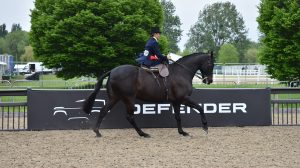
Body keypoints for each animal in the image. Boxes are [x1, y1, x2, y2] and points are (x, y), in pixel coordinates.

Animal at [82, 52, 213, 138]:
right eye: (210, 64)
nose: (209, 81)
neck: (181, 72)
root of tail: (113, 70)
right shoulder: (184, 99)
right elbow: (200, 108)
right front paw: (205, 127)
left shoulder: (176, 101)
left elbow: (178, 117)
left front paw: (182, 132)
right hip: (129, 98)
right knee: (129, 117)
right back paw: (143, 133)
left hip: (115, 98)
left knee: (104, 110)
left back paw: (97, 132)